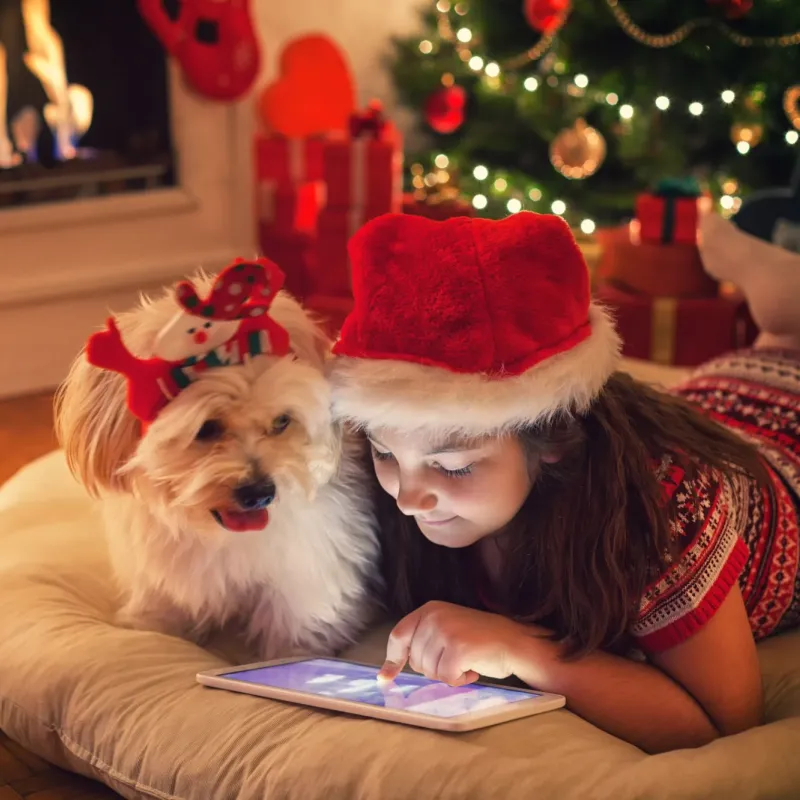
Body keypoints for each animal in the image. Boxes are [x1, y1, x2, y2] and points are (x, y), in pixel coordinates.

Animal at [56, 272, 382, 660]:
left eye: (281, 421)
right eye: (207, 428)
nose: (260, 492)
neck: (217, 534)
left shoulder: (306, 578)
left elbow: (297, 632)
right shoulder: (163, 578)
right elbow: (160, 618)